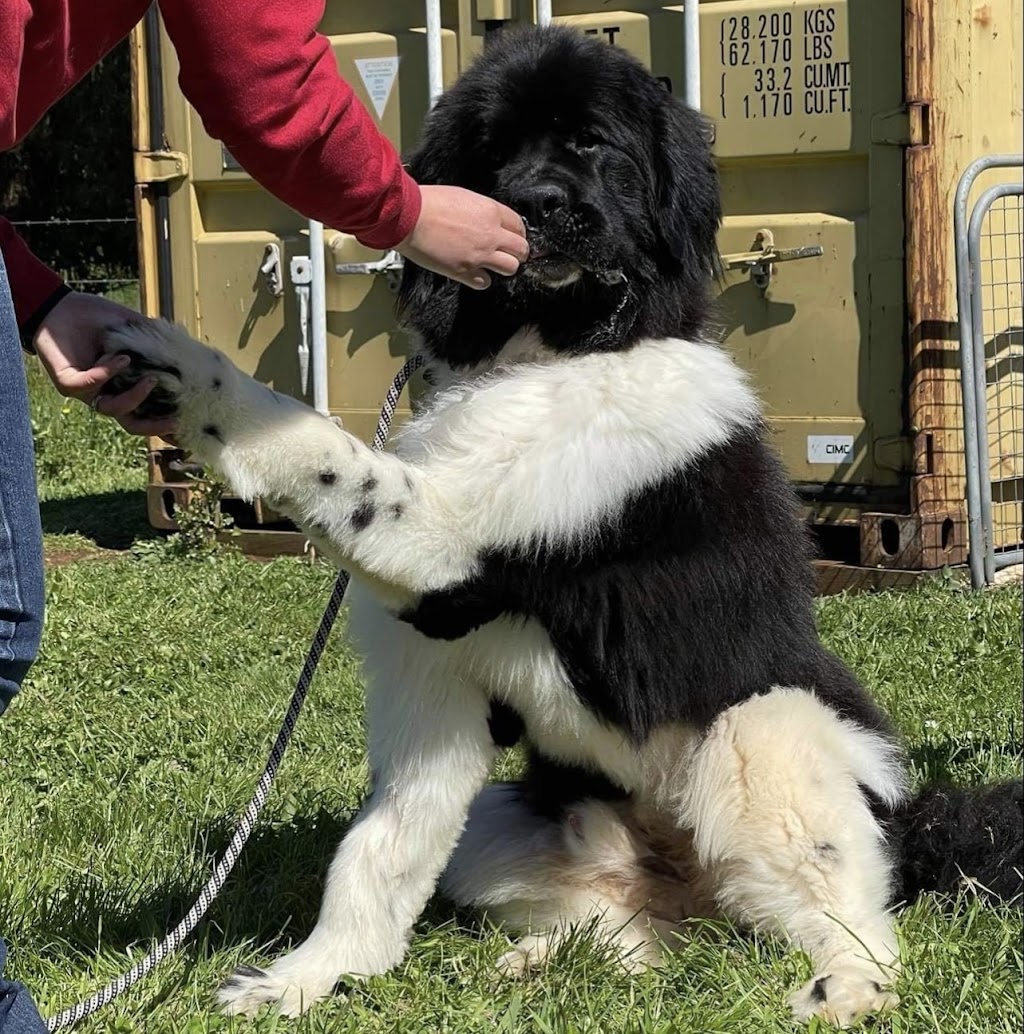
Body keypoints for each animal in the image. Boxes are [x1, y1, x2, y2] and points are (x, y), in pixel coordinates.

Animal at [106, 28, 1024, 1029]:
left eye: (595, 145)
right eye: (495, 152)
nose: (536, 207)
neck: (553, 353)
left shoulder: (446, 540)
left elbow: (312, 445)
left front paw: (172, 364)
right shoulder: (432, 667)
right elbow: (380, 847)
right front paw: (311, 975)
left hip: (763, 728)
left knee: (850, 915)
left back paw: (842, 987)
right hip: (514, 823)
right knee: (652, 930)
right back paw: (547, 959)